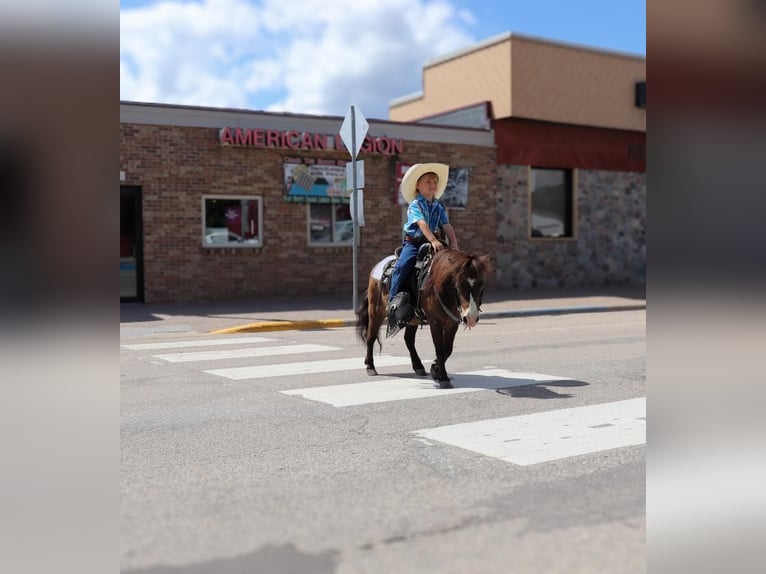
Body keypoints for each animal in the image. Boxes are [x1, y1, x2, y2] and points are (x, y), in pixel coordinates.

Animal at [358, 250, 496, 390]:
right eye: (459, 284)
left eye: (481, 284)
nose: (471, 318)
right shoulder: (435, 323)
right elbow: (440, 349)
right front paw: (443, 378)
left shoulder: (452, 324)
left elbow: (448, 349)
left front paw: (435, 369)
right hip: (375, 312)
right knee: (371, 337)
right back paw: (370, 366)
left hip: (412, 320)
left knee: (409, 340)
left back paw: (418, 366)